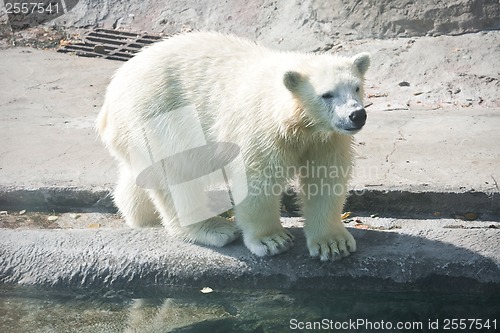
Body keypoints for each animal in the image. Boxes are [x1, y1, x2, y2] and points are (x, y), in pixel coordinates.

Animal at [97, 31, 370, 260]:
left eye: (356, 87)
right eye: (327, 94)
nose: (357, 115)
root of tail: (110, 99)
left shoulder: (326, 139)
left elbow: (326, 179)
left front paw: (333, 244)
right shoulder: (261, 129)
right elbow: (257, 179)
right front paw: (272, 240)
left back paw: (141, 215)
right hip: (159, 118)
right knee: (177, 174)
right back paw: (214, 228)